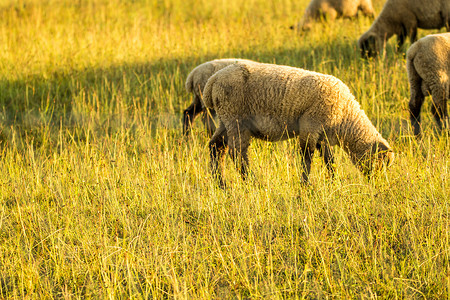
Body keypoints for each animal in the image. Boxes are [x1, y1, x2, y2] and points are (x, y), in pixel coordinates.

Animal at [202, 61, 392, 186]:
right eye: (380, 163)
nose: (377, 185)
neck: (345, 116)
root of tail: (212, 81)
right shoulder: (310, 126)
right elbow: (306, 157)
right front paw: (305, 185)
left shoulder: (322, 135)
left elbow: (329, 160)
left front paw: (334, 181)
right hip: (236, 118)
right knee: (237, 153)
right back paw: (252, 182)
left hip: (225, 119)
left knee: (216, 147)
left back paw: (220, 184)